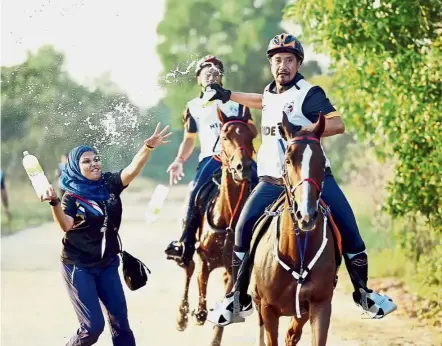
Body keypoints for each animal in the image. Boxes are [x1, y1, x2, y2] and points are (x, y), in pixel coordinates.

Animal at [174, 112, 254, 344]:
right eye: (225, 136)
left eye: (251, 135)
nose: (243, 167)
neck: (227, 218)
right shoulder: (205, 259)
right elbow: (200, 292)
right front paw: (195, 315)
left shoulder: (236, 267)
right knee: (188, 266)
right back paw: (181, 317)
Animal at [250, 113, 340, 346]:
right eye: (288, 160)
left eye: (322, 161)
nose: (305, 215)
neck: (297, 253)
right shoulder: (268, 309)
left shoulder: (320, 305)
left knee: (292, 333)